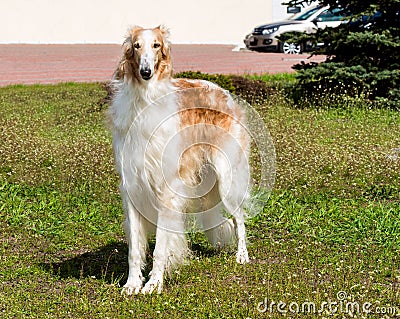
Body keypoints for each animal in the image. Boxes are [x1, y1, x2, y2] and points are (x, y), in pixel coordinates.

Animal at [106, 26, 250, 296]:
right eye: (136, 45)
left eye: (156, 45)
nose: (146, 72)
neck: (145, 101)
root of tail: (222, 91)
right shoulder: (131, 185)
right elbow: (134, 249)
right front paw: (132, 284)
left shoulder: (167, 189)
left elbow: (161, 246)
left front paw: (154, 284)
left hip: (226, 177)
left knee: (240, 217)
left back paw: (242, 256)